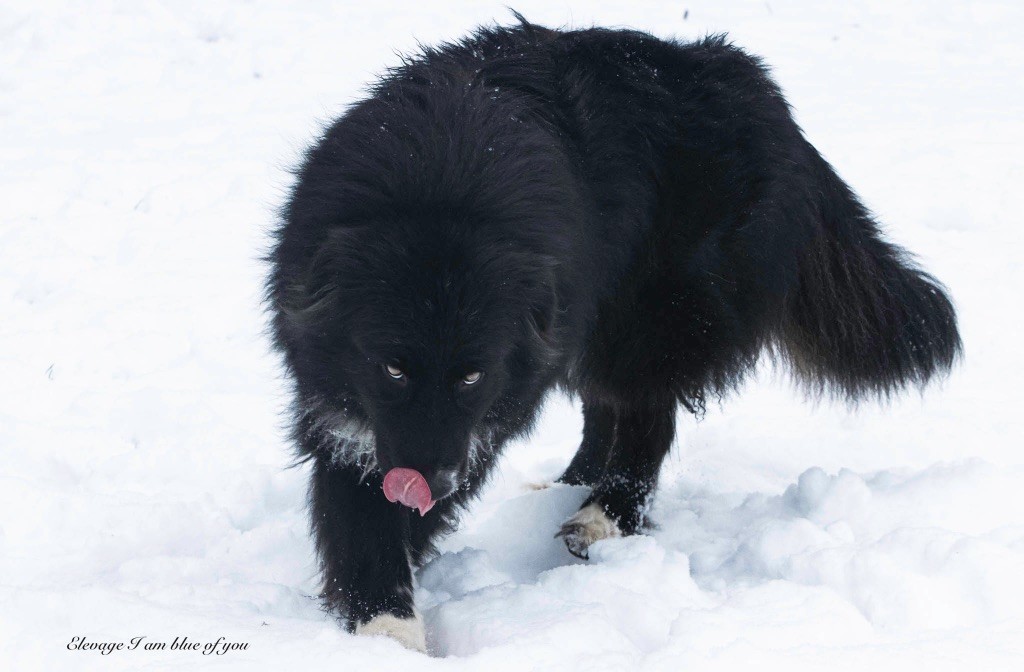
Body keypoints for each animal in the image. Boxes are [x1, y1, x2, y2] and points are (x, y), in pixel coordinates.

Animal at [264, 15, 958, 651]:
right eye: (393, 368)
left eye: (472, 375)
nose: (430, 485)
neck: (439, 181)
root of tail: (754, 85)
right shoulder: (348, 404)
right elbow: (357, 512)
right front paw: (384, 626)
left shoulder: (481, 410)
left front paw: (391, 620)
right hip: (595, 322)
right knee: (606, 407)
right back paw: (567, 486)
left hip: (656, 319)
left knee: (648, 419)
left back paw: (602, 517)